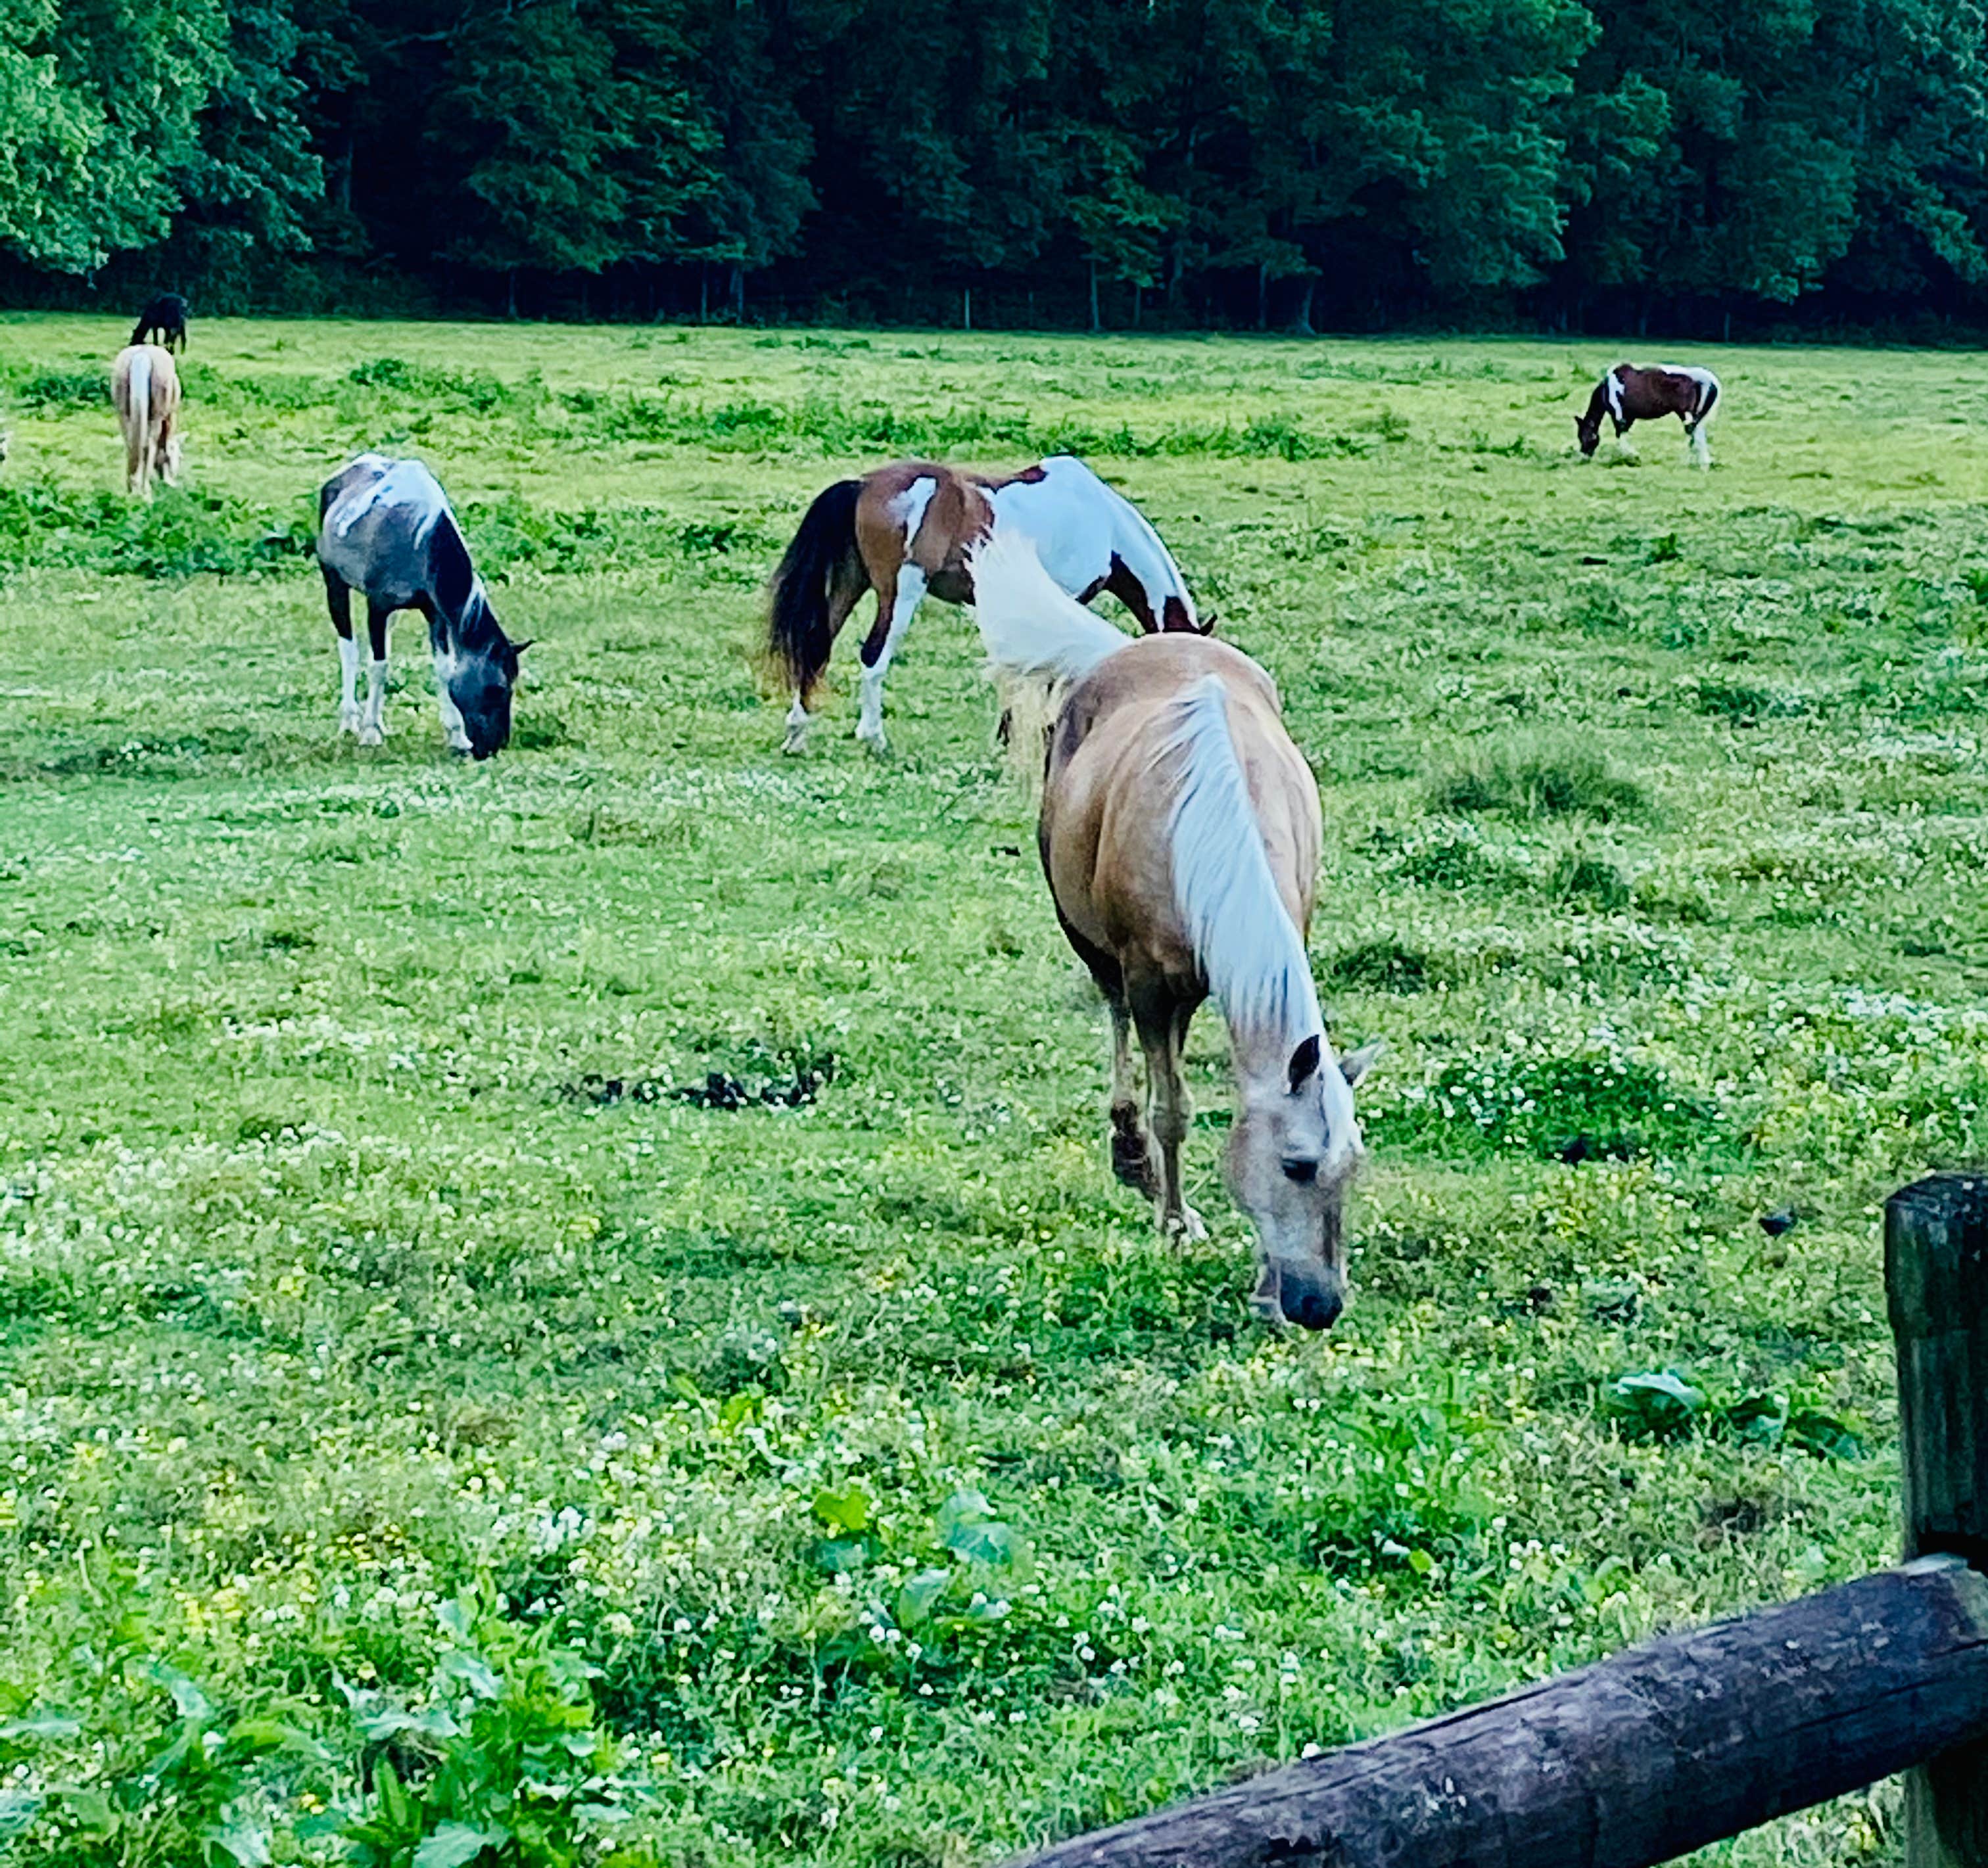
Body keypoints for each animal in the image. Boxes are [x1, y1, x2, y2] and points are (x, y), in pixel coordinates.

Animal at [110, 345, 182, 499]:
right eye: (180, 457)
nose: (174, 479)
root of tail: (142, 354)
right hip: (155, 417)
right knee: (149, 446)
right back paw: (145, 491)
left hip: (124, 414)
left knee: (131, 445)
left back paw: (132, 488)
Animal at [315, 454, 528, 759]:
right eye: (497, 689)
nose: (495, 746)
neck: (422, 540)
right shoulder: (377, 606)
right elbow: (378, 666)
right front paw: (369, 733)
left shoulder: (435, 614)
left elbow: (444, 669)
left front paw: (456, 735)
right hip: (334, 584)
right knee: (349, 649)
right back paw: (351, 721)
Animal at [767, 454, 1204, 754]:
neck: (1104, 522)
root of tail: (862, 484)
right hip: (900, 593)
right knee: (874, 656)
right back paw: (874, 738)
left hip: (850, 582)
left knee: (816, 645)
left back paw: (797, 734)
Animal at [967, 524, 1379, 1331]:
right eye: (1297, 1165)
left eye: (1351, 1165)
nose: (1320, 1305)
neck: (1214, 822)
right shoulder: (1150, 983)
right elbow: (1172, 1110)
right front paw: (1174, 1220)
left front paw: (1261, 1281)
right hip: (1098, 949)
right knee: (1117, 1024)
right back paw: (1131, 1157)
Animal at [1576, 363, 1721, 468]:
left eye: (1583, 435)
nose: (1584, 458)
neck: (1608, 389)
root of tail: (1704, 379)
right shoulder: (1629, 417)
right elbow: (1623, 434)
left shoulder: (1618, 416)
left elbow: (1620, 435)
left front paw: (1632, 457)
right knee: (1695, 434)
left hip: (1686, 414)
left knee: (1694, 434)